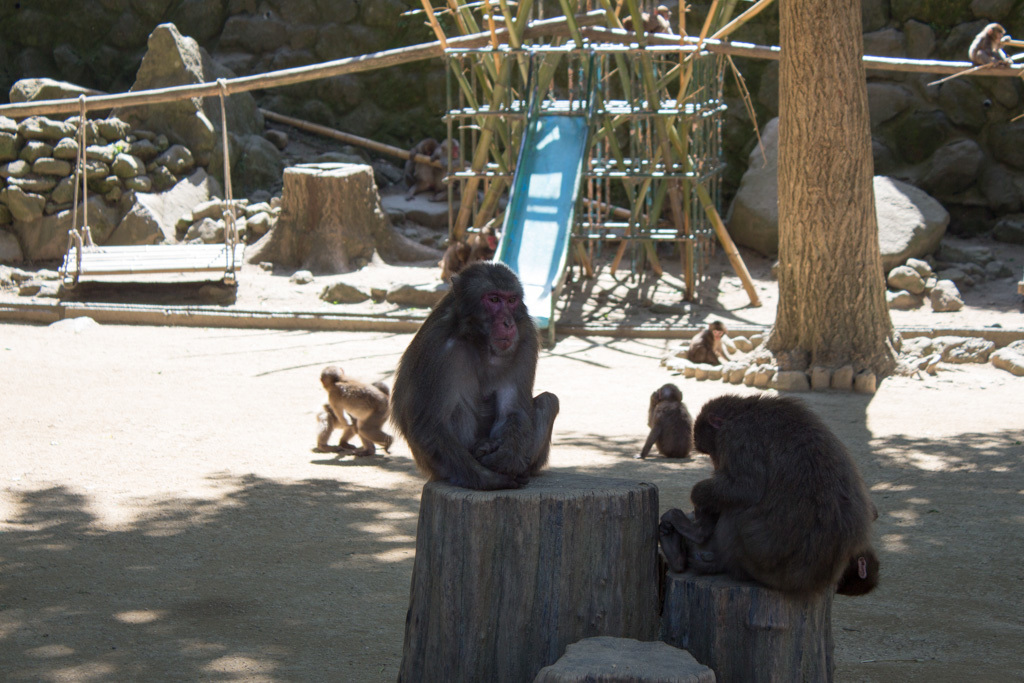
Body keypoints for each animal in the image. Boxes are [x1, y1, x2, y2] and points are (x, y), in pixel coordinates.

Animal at [389, 262, 561, 491]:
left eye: (511, 300)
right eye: (494, 299)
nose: (508, 323)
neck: (478, 340)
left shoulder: (526, 336)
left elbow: (513, 410)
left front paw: (506, 459)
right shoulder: (437, 348)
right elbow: (429, 426)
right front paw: (491, 479)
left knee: (548, 401)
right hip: (439, 469)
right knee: (456, 410)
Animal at [659, 395, 884, 598]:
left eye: (710, 451)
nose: (716, 464)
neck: (745, 411)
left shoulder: (737, 437)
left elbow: (744, 488)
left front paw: (698, 496)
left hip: (760, 560)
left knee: (737, 509)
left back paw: (698, 536)